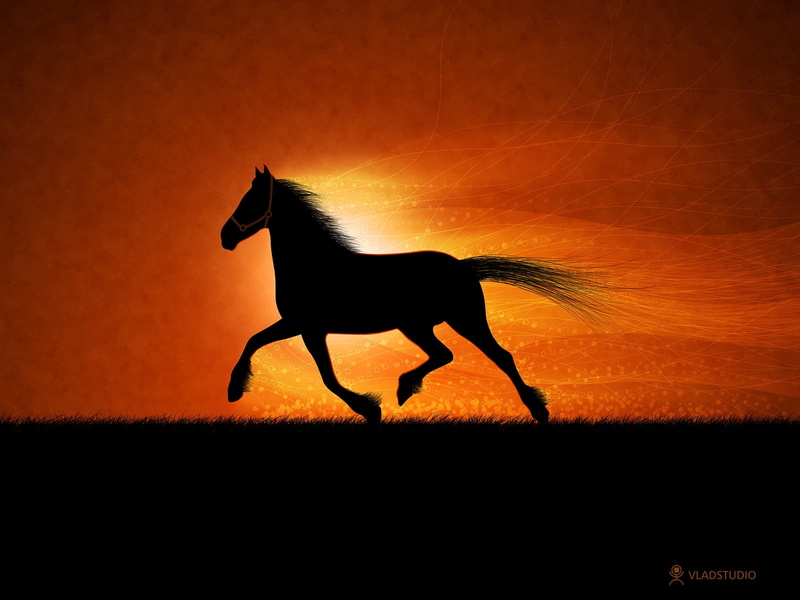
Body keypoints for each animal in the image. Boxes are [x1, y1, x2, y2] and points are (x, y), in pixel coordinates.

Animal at [221, 165, 612, 425]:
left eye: (250, 201)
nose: (225, 236)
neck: (313, 263)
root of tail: (464, 267)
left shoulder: (308, 327)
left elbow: (326, 376)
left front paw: (370, 409)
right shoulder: (299, 325)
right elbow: (255, 341)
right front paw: (235, 390)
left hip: (460, 320)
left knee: (498, 356)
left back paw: (538, 411)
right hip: (421, 326)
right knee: (446, 354)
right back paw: (406, 388)